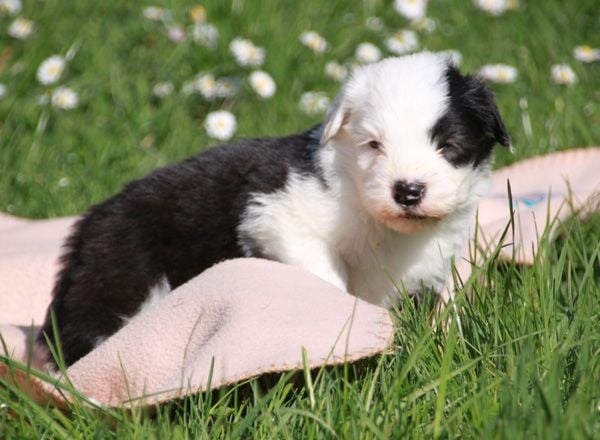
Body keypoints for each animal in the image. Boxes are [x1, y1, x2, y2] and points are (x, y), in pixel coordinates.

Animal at [37, 52, 510, 367]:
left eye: (449, 145)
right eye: (374, 144)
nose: (408, 190)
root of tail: (85, 229)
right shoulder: (275, 211)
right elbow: (327, 275)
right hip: (123, 275)